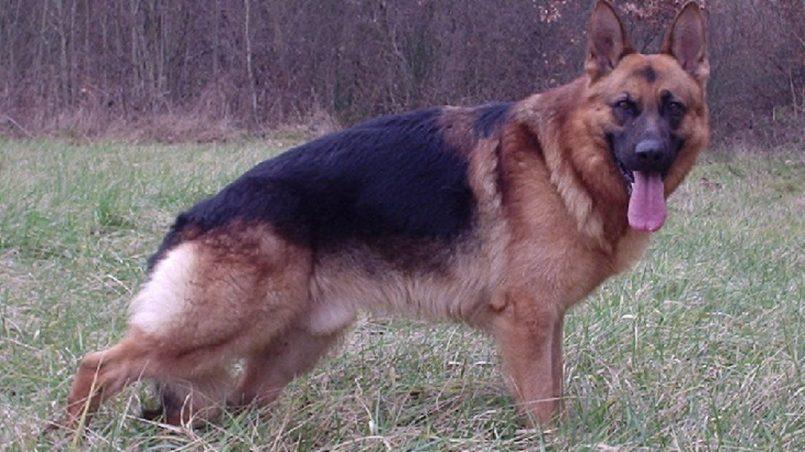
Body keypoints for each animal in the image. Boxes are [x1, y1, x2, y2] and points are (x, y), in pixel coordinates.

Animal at [58, 0, 708, 430]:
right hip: (218, 328)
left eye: (672, 107)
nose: (649, 155)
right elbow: (545, 410)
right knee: (98, 365)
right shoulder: (528, 322)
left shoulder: (547, 323)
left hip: (291, 348)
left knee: (234, 406)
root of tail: (196, 214)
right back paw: (69, 433)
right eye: (624, 107)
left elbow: (557, 397)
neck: (563, 160)